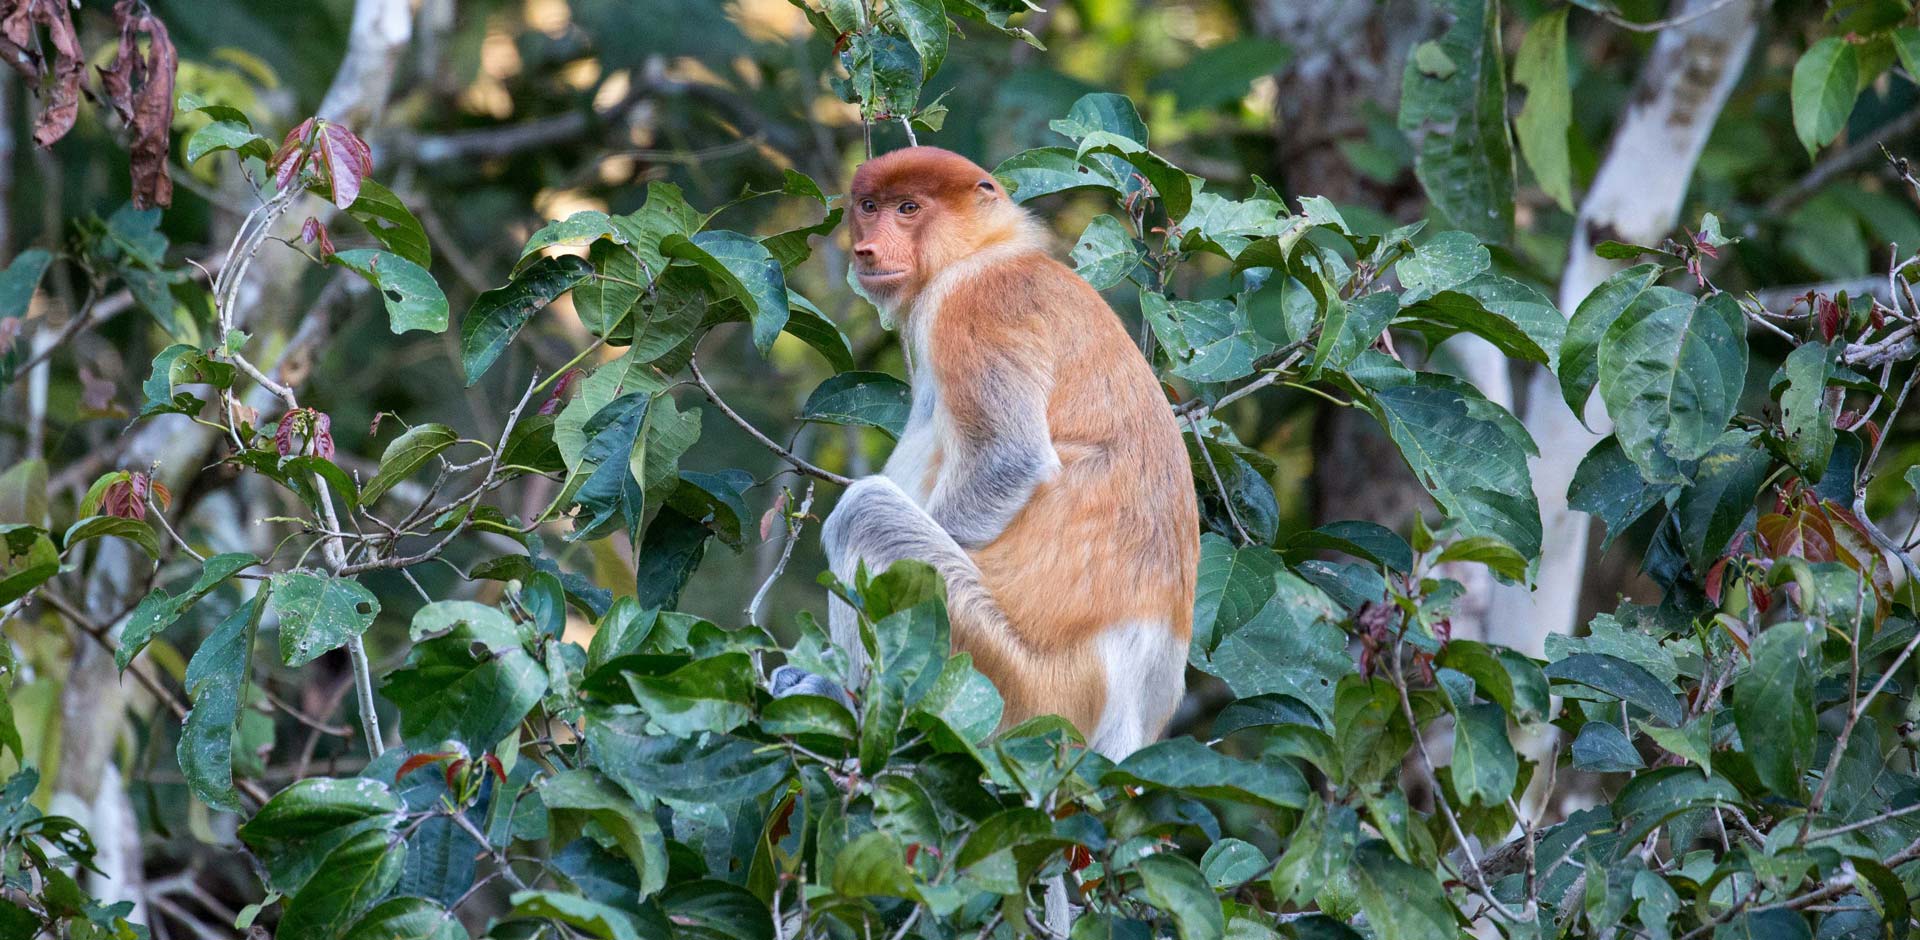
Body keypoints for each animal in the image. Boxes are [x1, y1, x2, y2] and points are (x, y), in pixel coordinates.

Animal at [787, 148, 1190, 763]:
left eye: (909, 208)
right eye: (869, 206)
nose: (866, 250)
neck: (985, 250)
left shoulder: (975, 307)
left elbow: (1009, 459)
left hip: (1013, 685)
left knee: (867, 515)